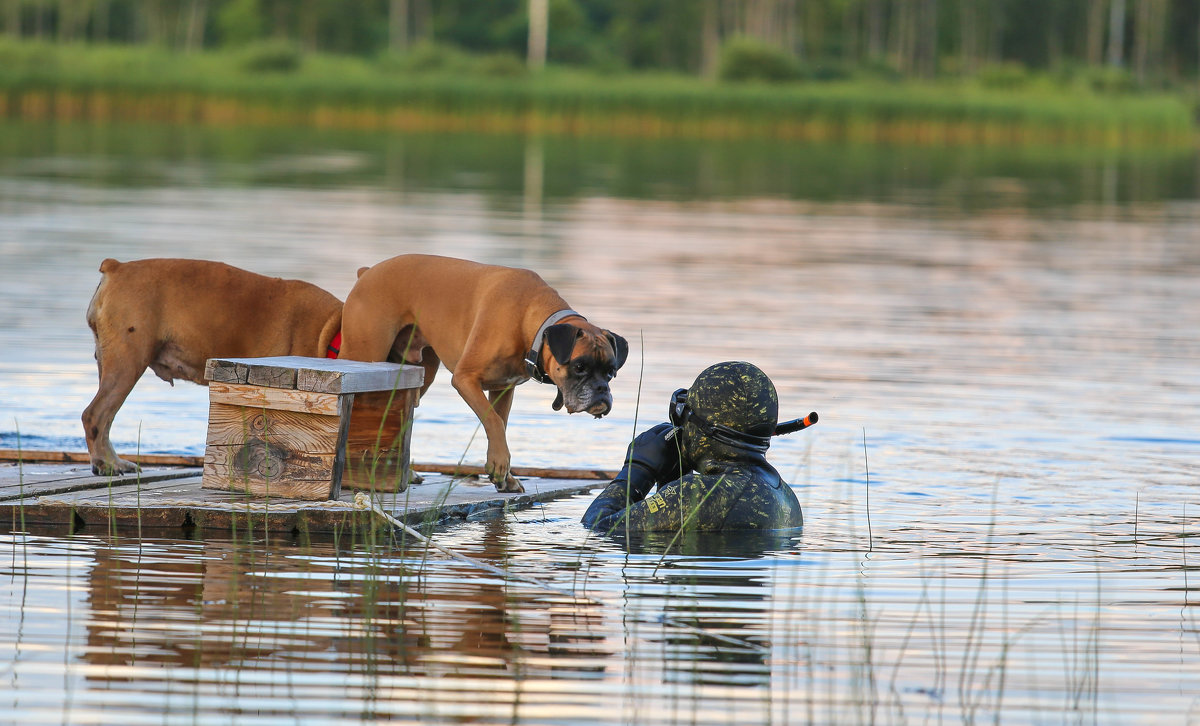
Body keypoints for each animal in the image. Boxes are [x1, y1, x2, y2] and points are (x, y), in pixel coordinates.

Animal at [83, 259, 343, 475]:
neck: (329, 332)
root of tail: (117, 267)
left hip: (109, 362)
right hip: (127, 364)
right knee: (97, 415)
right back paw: (108, 463)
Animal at [338, 253, 628, 492]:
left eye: (611, 372)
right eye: (579, 367)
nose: (602, 391)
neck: (529, 321)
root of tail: (368, 271)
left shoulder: (503, 388)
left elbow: (500, 424)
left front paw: (505, 476)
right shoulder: (465, 379)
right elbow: (494, 422)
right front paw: (499, 464)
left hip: (421, 373)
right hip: (365, 355)